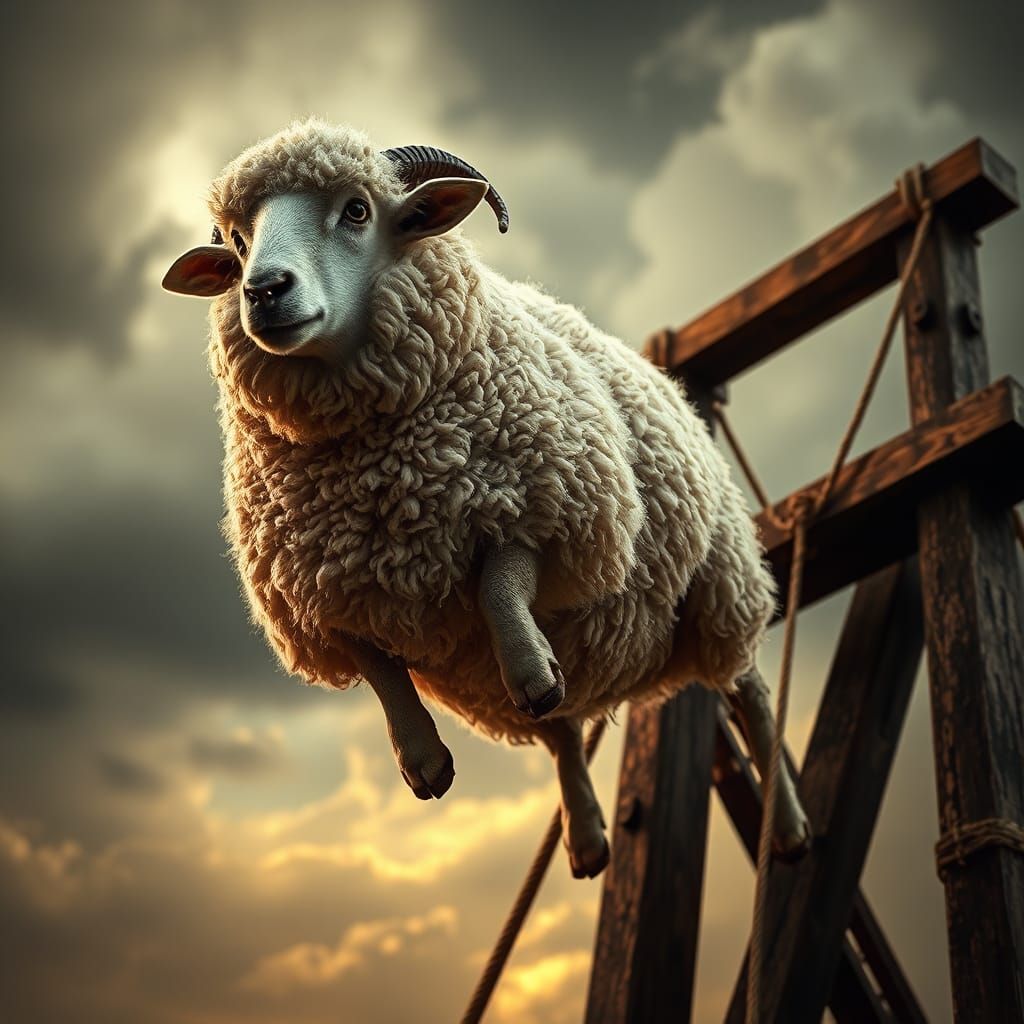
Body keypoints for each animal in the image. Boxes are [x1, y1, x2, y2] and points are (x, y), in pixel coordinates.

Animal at [163, 117, 810, 877]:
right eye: (237, 242)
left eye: (358, 211)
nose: (263, 291)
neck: (373, 473)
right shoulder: (325, 597)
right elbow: (379, 668)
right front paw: (423, 760)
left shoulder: (547, 506)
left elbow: (499, 586)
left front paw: (526, 665)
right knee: (561, 731)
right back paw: (586, 836)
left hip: (721, 585)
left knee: (751, 698)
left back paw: (788, 824)